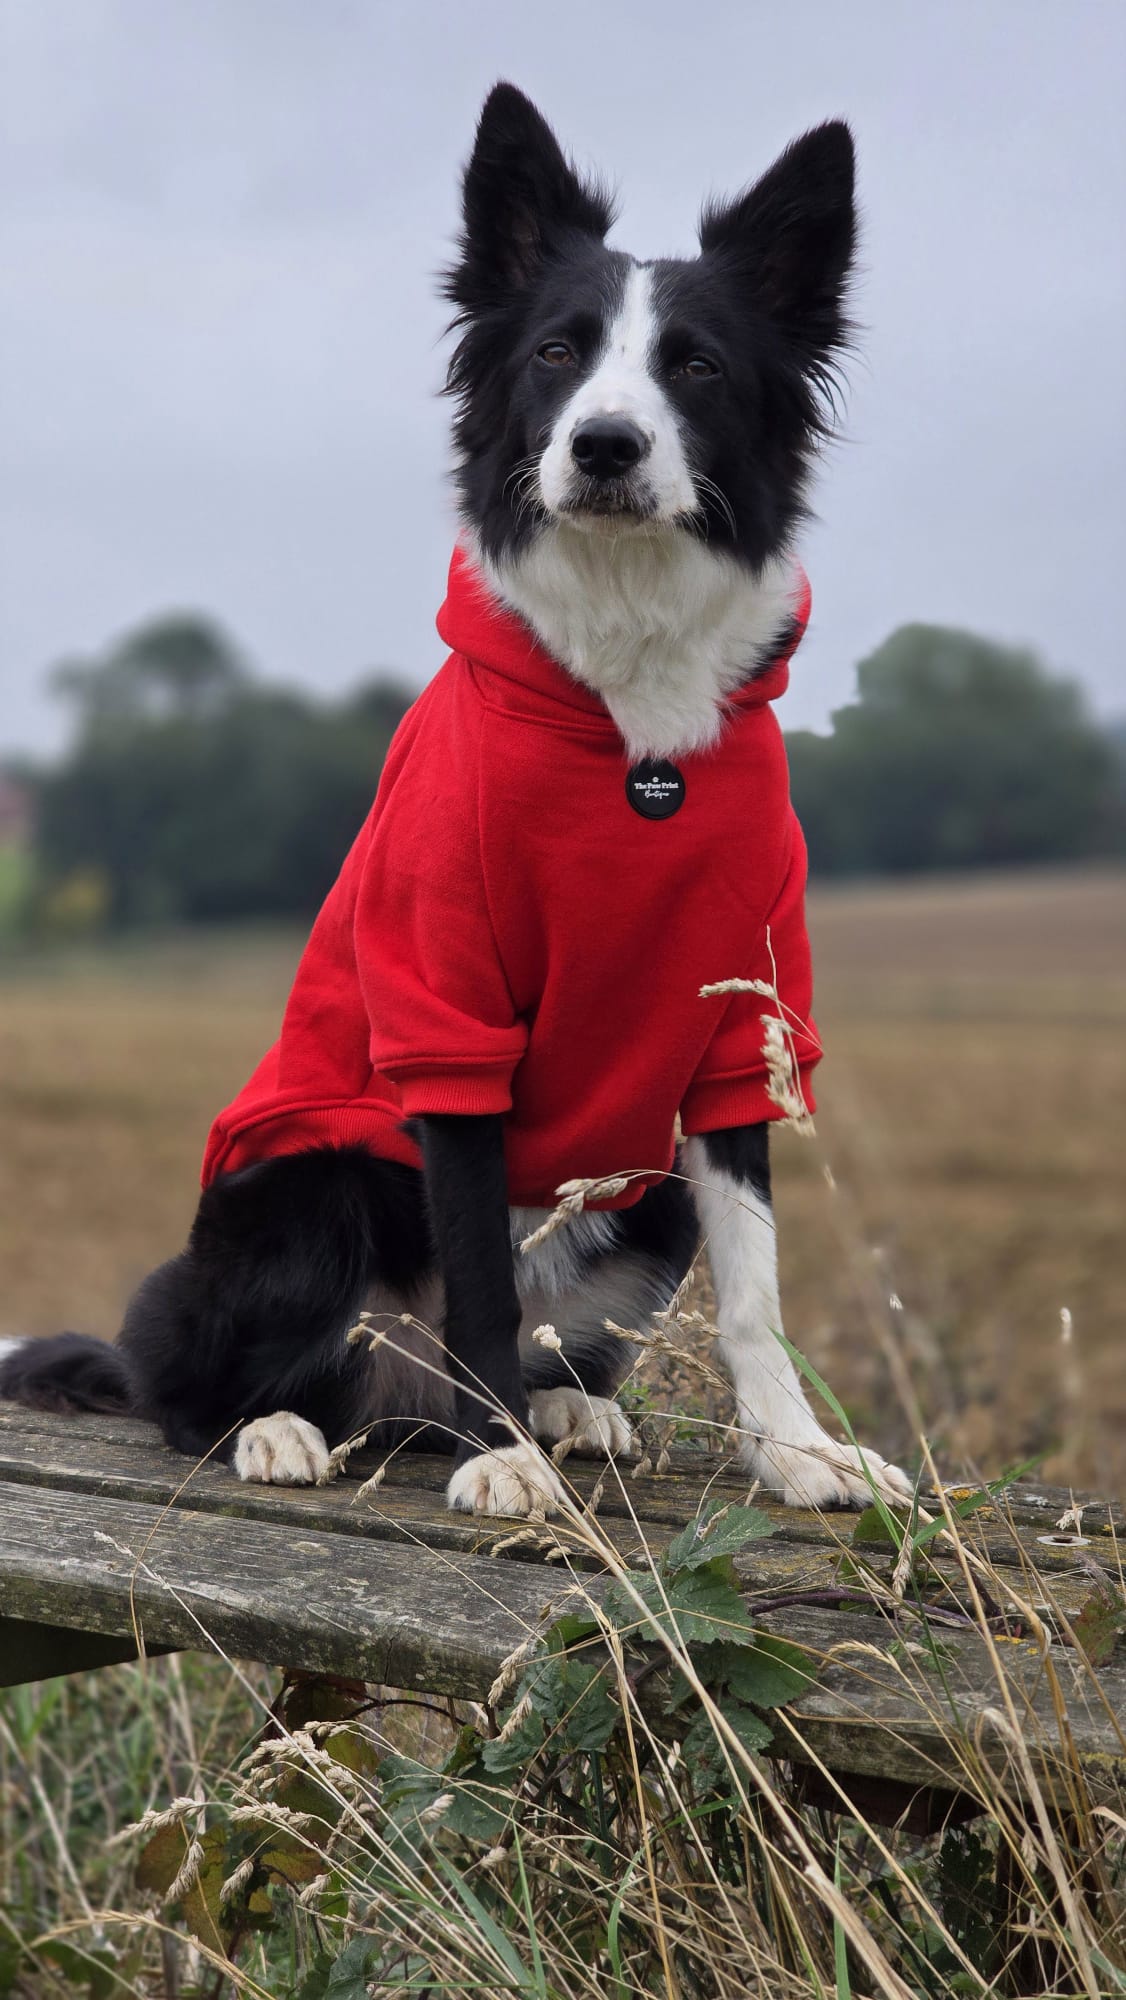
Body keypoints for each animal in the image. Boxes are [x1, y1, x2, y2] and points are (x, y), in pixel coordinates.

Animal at [0, 78, 912, 1512]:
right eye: (556, 352)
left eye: (695, 366)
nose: (604, 443)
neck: (625, 719)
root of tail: (401, 1394)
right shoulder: (449, 1021)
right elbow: (483, 1266)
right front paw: (507, 1471)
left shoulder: (742, 1028)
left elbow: (755, 1288)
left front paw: (797, 1452)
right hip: (299, 1178)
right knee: (186, 1383)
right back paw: (297, 1429)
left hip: (638, 1196)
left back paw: (563, 1410)